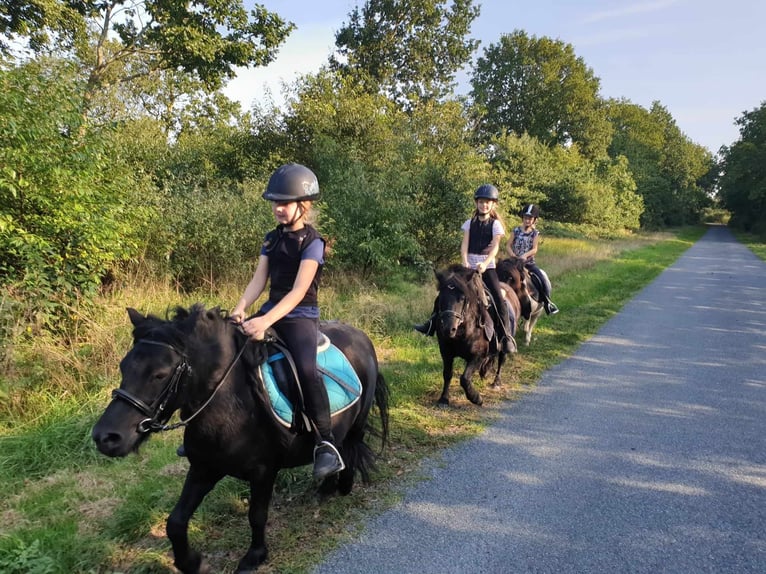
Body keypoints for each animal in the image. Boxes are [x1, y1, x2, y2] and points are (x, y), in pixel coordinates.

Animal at [92, 306, 390, 574]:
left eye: (160, 374)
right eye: (123, 367)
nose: (105, 437)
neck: (231, 402)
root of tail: (360, 336)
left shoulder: (263, 471)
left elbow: (256, 516)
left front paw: (254, 556)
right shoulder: (204, 468)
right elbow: (175, 522)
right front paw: (192, 563)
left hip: (357, 422)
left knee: (348, 448)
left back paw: (343, 485)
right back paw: (326, 488)